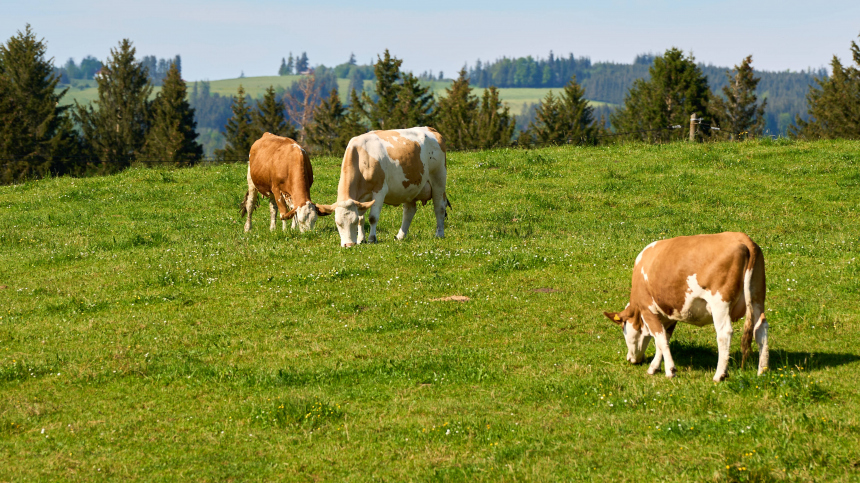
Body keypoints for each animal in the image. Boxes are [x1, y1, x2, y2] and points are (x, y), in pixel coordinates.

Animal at [316, 126, 450, 248]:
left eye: (352, 222)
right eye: (338, 223)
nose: (349, 244)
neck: (362, 157)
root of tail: (431, 129)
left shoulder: (379, 191)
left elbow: (372, 218)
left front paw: (371, 239)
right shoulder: (360, 199)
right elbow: (361, 218)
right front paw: (361, 240)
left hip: (438, 178)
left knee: (439, 207)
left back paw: (439, 234)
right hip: (409, 187)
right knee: (409, 211)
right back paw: (400, 236)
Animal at [600, 233, 768, 384]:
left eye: (623, 329)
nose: (630, 359)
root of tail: (742, 238)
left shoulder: (648, 310)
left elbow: (660, 338)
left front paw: (670, 370)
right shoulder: (669, 314)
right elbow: (663, 339)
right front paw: (655, 367)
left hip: (720, 302)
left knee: (724, 333)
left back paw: (719, 374)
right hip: (757, 298)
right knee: (760, 329)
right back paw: (762, 370)